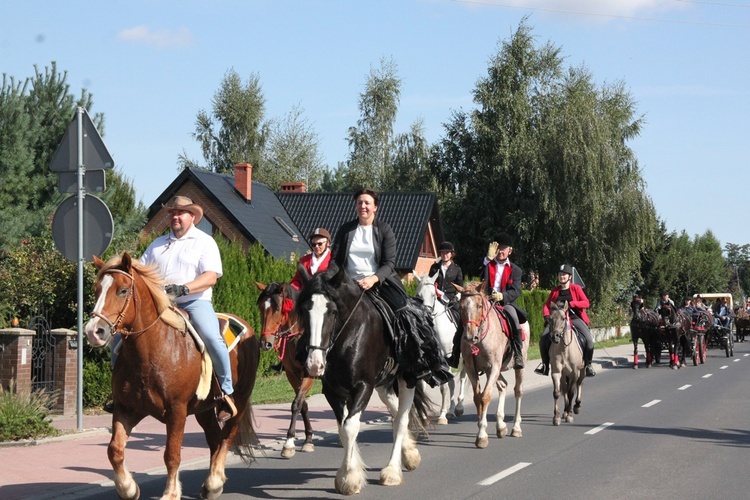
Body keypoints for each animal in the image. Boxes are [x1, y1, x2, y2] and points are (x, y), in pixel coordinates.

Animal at [85, 254, 260, 500]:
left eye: (122, 290)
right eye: (96, 290)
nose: (93, 331)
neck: (151, 351)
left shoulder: (176, 411)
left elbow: (172, 454)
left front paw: (170, 493)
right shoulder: (126, 408)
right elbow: (115, 450)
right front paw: (128, 488)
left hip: (240, 400)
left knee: (227, 437)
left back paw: (215, 482)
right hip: (204, 409)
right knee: (215, 439)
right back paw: (209, 486)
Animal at [258, 282, 318, 458]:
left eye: (278, 309)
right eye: (260, 307)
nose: (265, 343)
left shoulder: (309, 374)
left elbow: (297, 403)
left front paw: (289, 443)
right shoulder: (292, 374)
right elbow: (302, 404)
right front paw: (308, 439)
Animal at [296, 264, 432, 494]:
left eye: (332, 311)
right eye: (305, 310)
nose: (314, 364)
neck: (347, 335)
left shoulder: (363, 386)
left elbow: (351, 426)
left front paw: (349, 478)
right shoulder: (332, 391)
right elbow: (342, 429)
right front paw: (349, 473)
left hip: (406, 379)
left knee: (401, 419)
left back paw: (392, 472)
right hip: (383, 385)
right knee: (394, 411)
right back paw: (410, 454)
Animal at [414, 272, 468, 424]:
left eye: (433, 294)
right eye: (418, 295)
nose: (425, 314)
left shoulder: (446, 357)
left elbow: (445, 387)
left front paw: (443, 415)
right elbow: (425, 385)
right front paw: (424, 416)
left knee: (463, 377)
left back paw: (459, 407)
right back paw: (453, 409)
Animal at [450, 282, 532, 450]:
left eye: (480, 305)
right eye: (461, 306)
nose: (470, 336)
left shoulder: (493, 367)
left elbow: (485, 396)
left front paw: (482, 435)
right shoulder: (471, 369)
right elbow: (477, 398)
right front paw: (482, 427)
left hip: (516, 366)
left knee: (518, 391)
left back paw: (516, 427)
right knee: (503, 385)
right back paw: (501, 426)